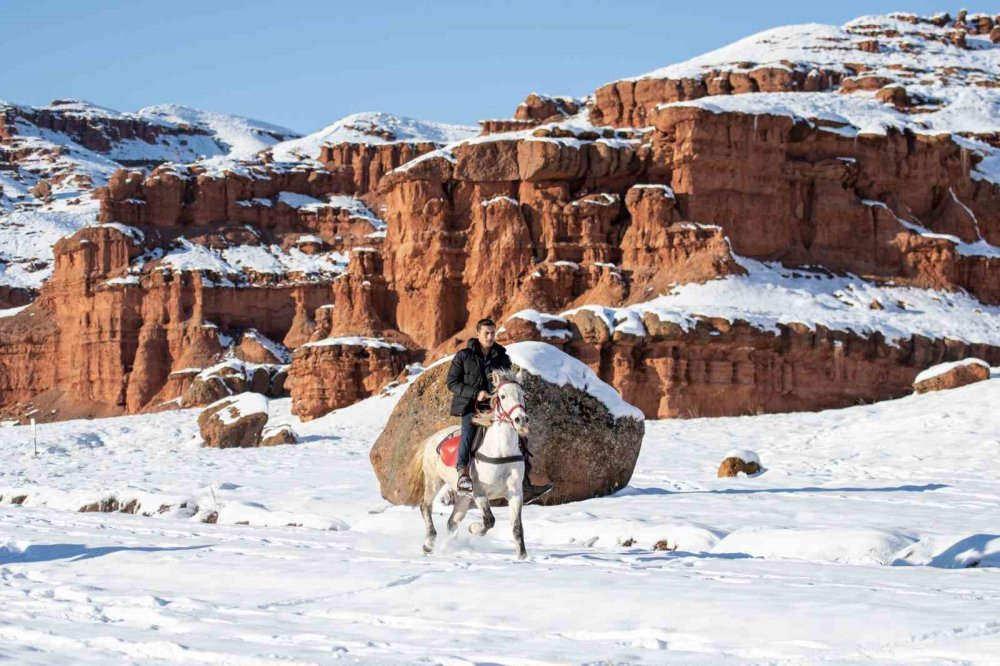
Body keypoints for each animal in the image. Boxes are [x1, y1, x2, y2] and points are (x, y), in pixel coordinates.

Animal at [408, 368, 532, 556]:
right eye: (502, 396)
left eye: (523, 395)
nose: (521, 420)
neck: (501, 451)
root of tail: (432, 438)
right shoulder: (480, 493)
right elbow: (489, 520)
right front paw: (473, 528)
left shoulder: (516, 494)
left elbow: (517, 527)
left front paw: (522, 556)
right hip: (433, 480)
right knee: (425, 507)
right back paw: (428, 544)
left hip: (462, 496)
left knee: (452, 521)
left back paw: (450, 546)